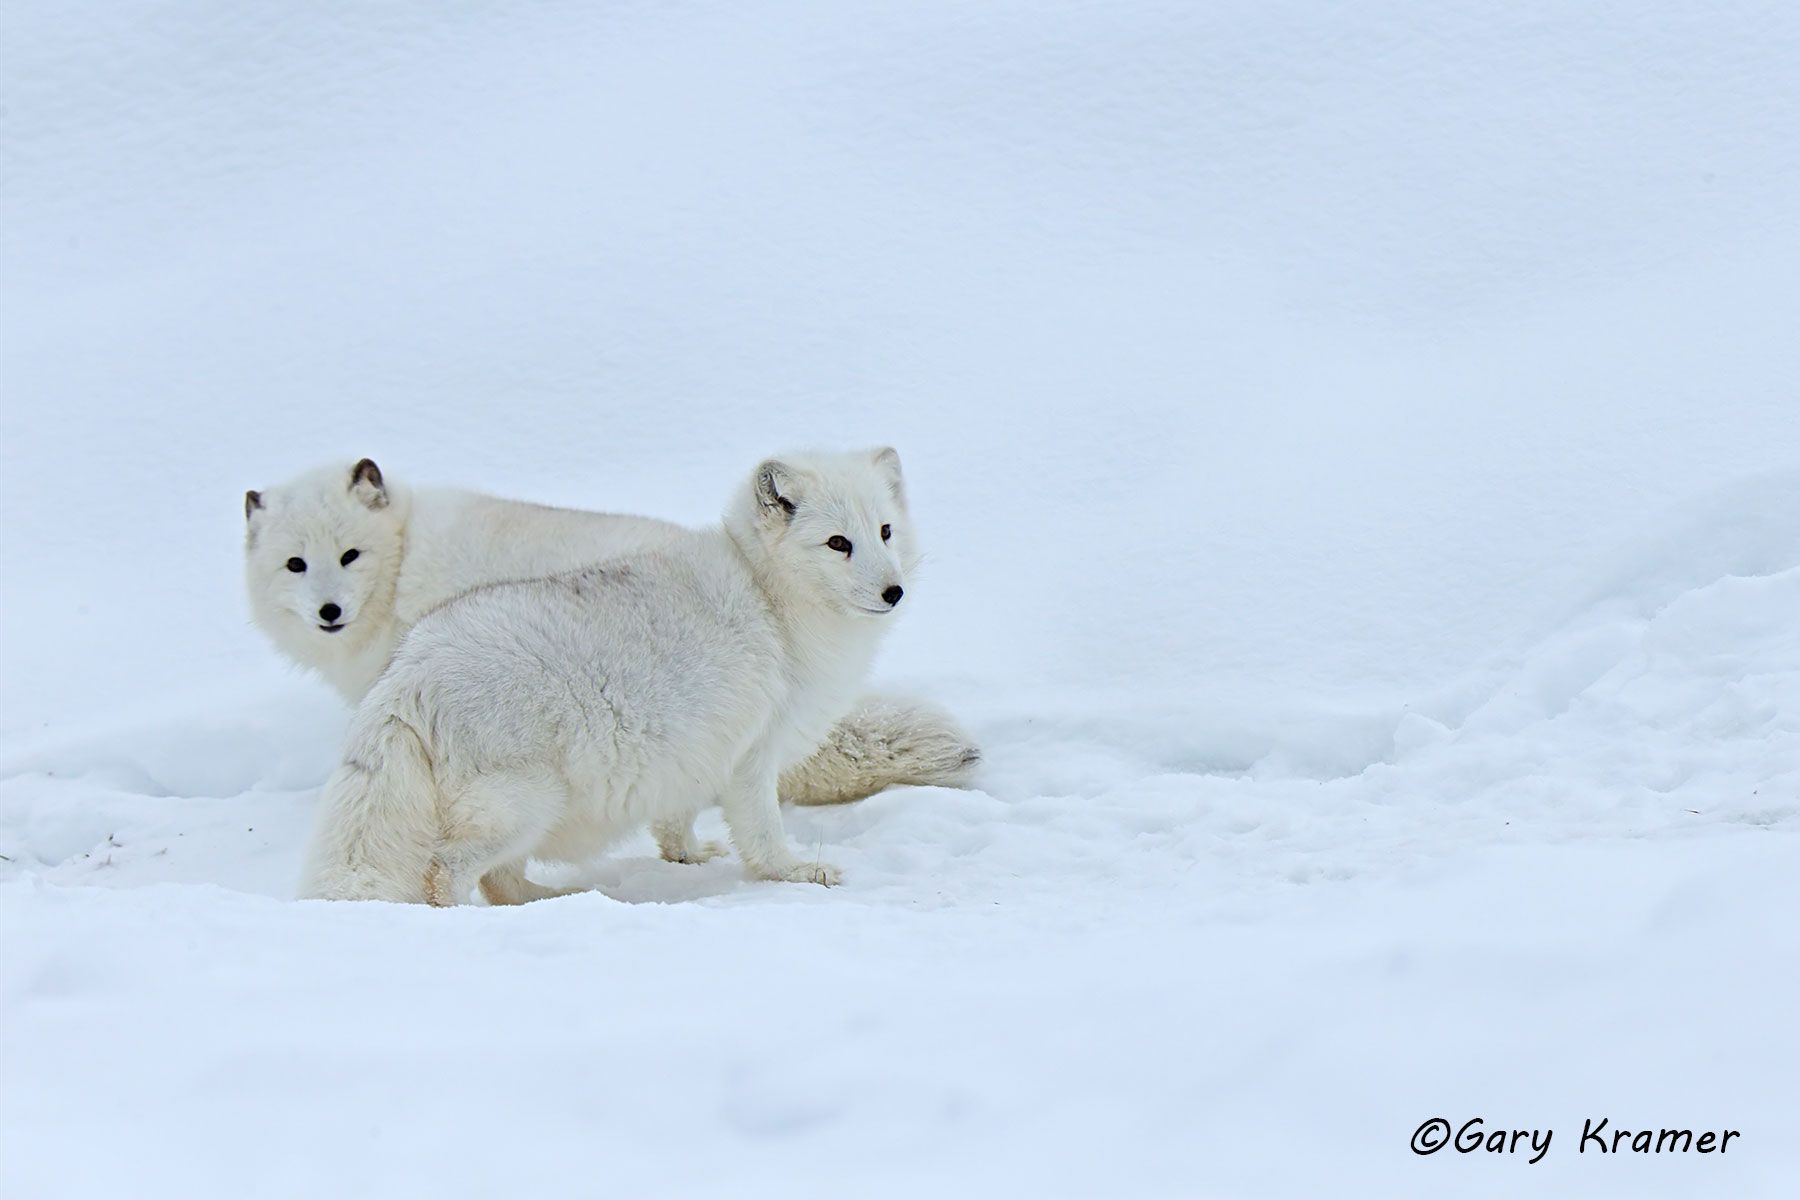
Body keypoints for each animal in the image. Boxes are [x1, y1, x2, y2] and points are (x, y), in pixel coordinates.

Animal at [298, 449, 922, 902]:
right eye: (837, 543)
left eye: (886, 532)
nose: (894, 592)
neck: (772, 597)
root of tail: (408, 673)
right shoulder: (752, 755)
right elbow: (763, 834)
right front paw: (794, 874)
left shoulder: (692, 752)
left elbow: (675, 820)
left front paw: (687, 857)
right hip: (525, 805)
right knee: (444, 869)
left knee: (499, 879)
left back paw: (548, 900)